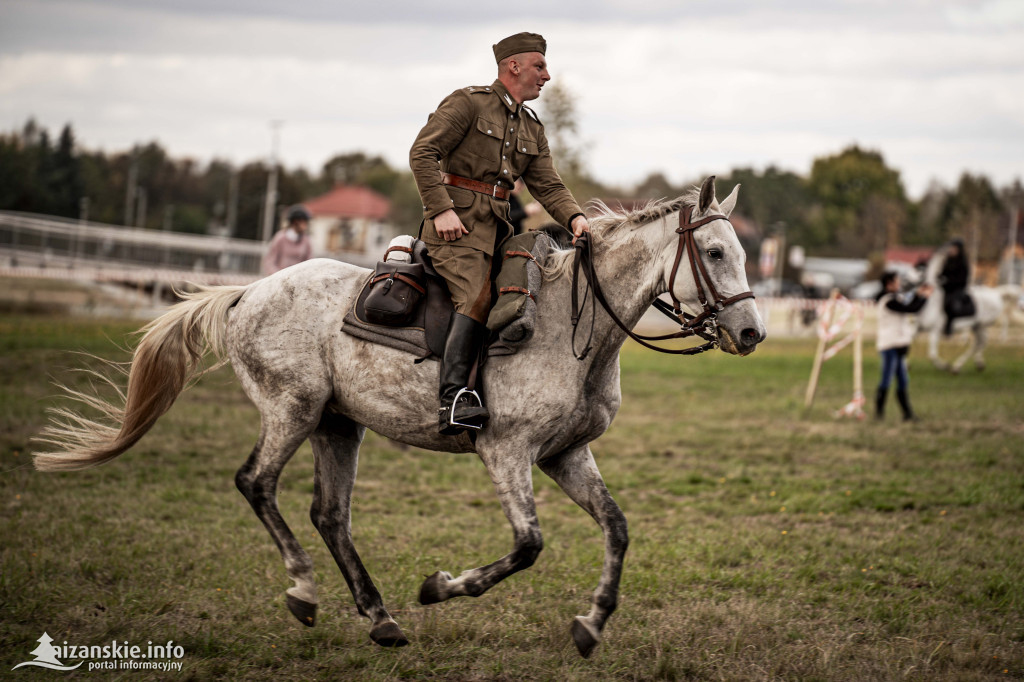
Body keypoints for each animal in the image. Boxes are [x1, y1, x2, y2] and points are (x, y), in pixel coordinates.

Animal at [36, 175, 765, 655]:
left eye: (743, 252)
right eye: (716, 253)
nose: (752, 332)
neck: (573, 325)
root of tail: (249, 290)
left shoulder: (566, 455)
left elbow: (616, 528)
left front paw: (590, 624)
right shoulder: (507, 453)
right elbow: (527, 545)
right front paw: (441, 586)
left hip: (337, 424)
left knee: (329, 514)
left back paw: (378, 616)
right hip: (292, 410)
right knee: (257, 484)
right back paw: (306, 591)